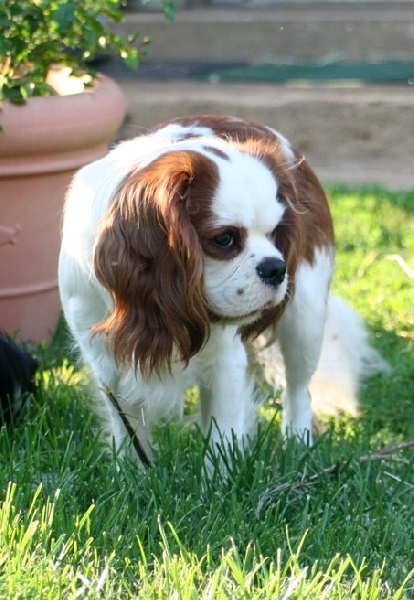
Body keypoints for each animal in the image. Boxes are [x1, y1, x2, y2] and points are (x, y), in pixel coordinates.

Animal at [57, 115, 384, 464]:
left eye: (276, 233)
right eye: (225, 239)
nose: (276, 268)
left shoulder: (226, 362)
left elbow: (221, 435)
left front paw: (219, 476)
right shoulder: (109, 364)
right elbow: (129, 435)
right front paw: (134, 472)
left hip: (304, 319)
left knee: (298, 386)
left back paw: (298, 442)